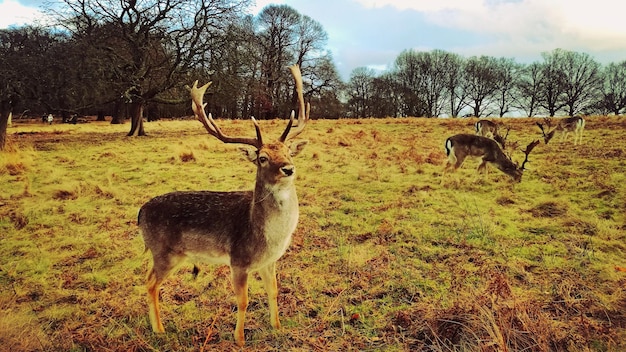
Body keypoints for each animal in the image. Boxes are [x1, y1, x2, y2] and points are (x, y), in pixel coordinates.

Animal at [139, 64, 310, 346]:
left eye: (288, 151)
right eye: (262, 158)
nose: (289, 168)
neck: (266, 237)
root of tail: (139, 213)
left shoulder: (269, 261)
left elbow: (274, 291)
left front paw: (277, 327)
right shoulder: (238, 260)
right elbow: (243, 301)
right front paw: (239, 339)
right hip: (164, 251)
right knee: (150, 282)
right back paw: (159, 329)